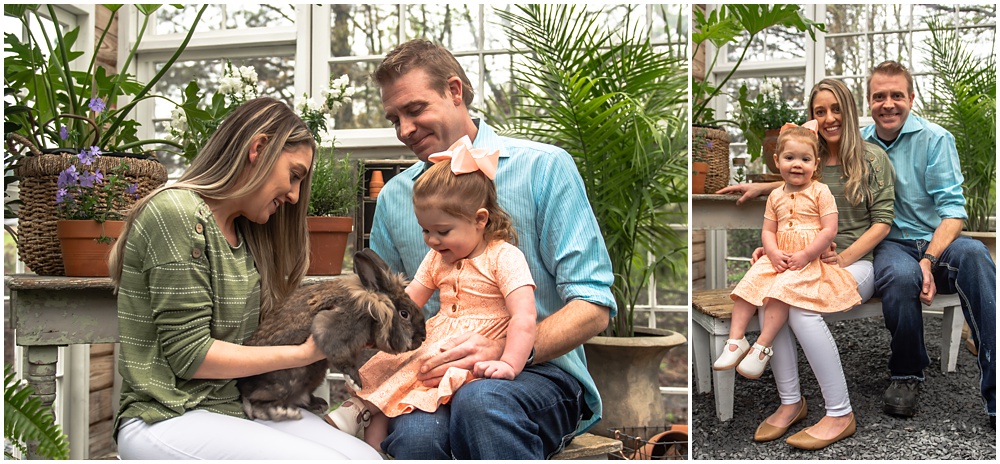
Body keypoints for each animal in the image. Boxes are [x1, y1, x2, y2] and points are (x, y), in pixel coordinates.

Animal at [239, 250, 426, 420]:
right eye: (404, 314)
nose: (423, 338)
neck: (372, 311)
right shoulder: (335, 326)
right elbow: (343, 358)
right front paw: (356, 383)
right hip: (287, 380)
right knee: (255, 403)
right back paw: (283, 412)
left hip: (316, 374)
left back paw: (318, 404)